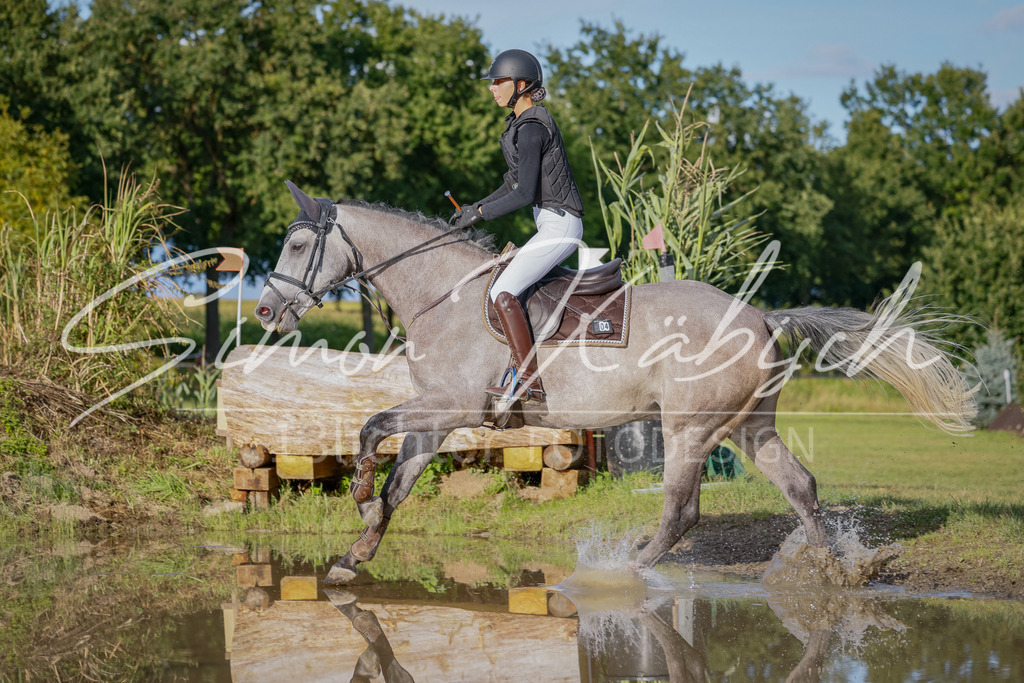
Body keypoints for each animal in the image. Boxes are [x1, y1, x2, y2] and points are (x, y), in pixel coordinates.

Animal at [254, 182, 976, 584]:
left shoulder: (448, 405)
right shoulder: (435, 417)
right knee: (799, 485)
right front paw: (356, 551)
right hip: (747, 426)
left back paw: (626, 569)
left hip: (689, 428)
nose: (264, 311)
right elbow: (399, 482)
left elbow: (370, 427)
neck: (441, 294)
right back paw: (837, 571)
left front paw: (357, 497)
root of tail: (761, 315)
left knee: (682, 510)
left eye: (297, 247)